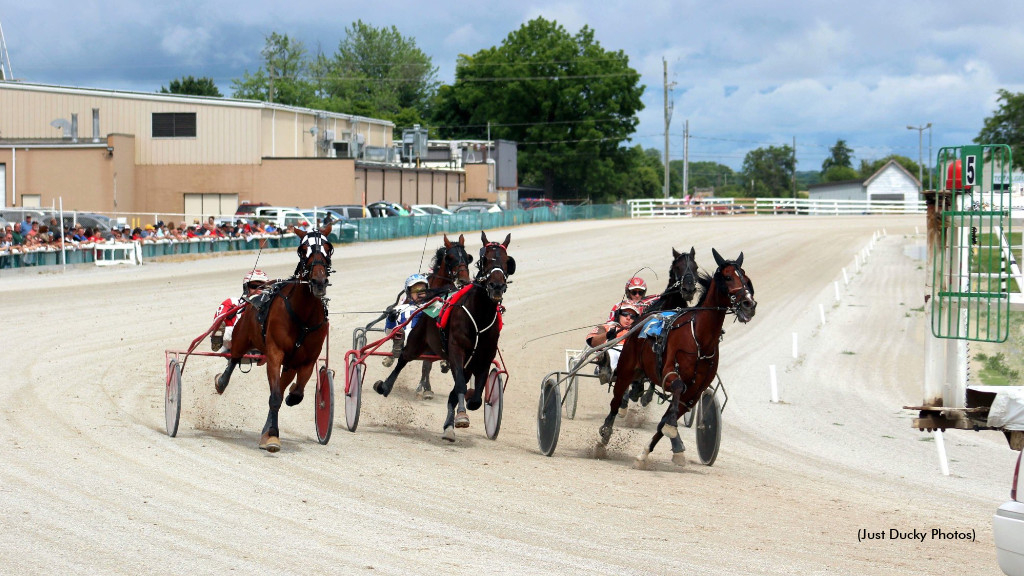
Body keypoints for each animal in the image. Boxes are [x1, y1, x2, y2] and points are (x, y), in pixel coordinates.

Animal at [217, 224, 335, 453]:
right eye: (302, 249)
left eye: (329, 248)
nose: (318, 281)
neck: (303, 316)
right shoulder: (275, 353)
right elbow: (275, 397)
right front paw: (272, 435)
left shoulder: (307, 360)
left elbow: (295, 393)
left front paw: (288, 401)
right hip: (242, 336)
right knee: (234, 358)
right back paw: (221, 382)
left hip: (290, 363)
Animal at [374, 228, 516, 438]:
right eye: (484, 259)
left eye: (508, 261)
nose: (496, 286)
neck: (479, 315)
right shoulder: (456, 350)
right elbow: (458, 385)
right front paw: (460, 415)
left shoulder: (483, 357)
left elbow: (473, 397)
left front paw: (462, 410)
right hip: (418, 341)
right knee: (404, 358)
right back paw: (386, 384)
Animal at [598, 249, 757, 463]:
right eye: (728, 277)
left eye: (746, 279)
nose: (749, 304)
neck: (700, 340)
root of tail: (640, 321)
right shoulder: (669, 372)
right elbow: (677, 388)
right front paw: (672, 430)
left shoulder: (695, 392)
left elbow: (667, 419)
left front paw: (653, 451)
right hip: (626, 370)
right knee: (615, 402)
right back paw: (604, 436)